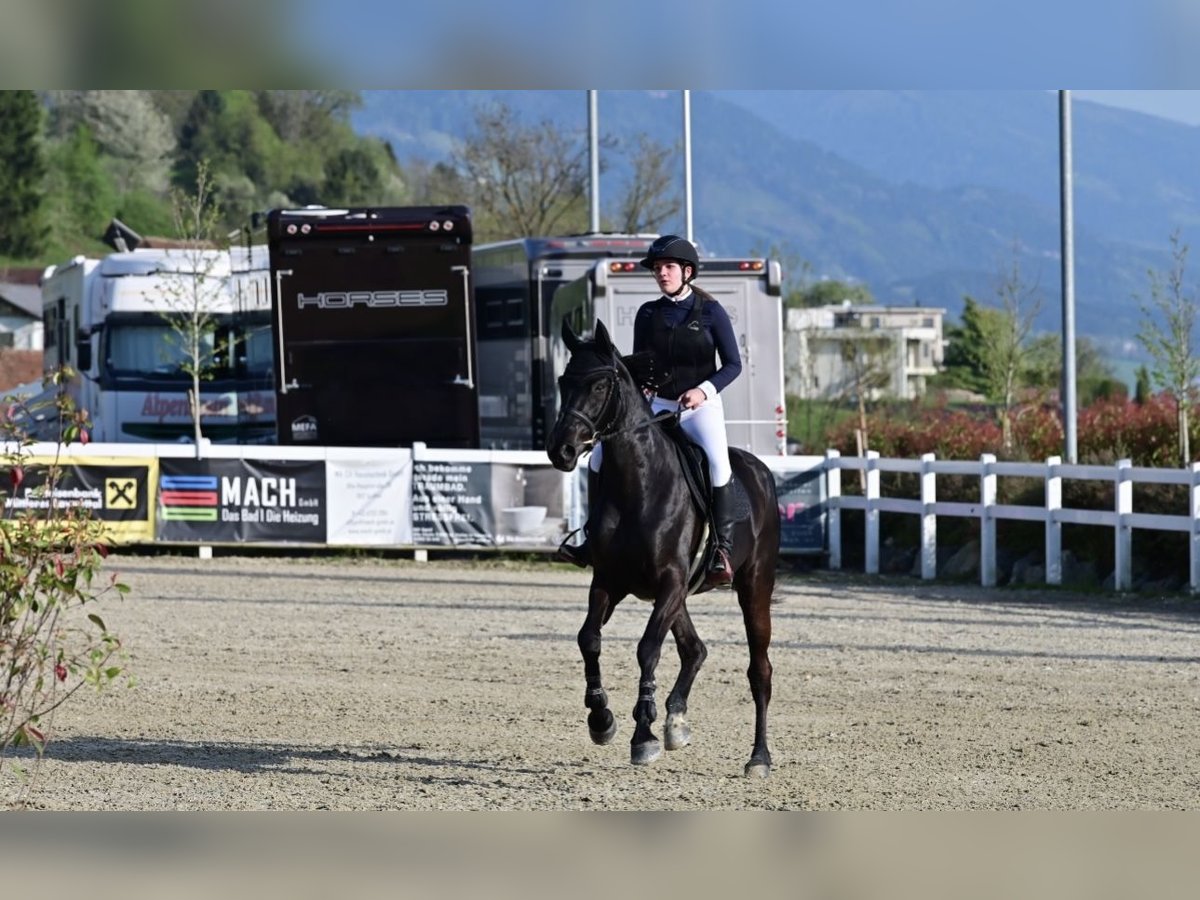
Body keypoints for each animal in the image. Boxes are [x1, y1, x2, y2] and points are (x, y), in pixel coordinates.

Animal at [547, 321, 777, 777]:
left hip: (752, 587)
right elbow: (589, 639)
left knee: (759, 670)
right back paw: (676, 722)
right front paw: (602, 719)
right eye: (564, 382)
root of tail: (760, 472)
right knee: (695, 650)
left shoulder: (670, 581)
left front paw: (643, 735)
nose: (559, 450)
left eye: (599, 385)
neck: (639, 485)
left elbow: (647, 649)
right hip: (677, 594)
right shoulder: (611, 580)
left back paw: (758, 757)